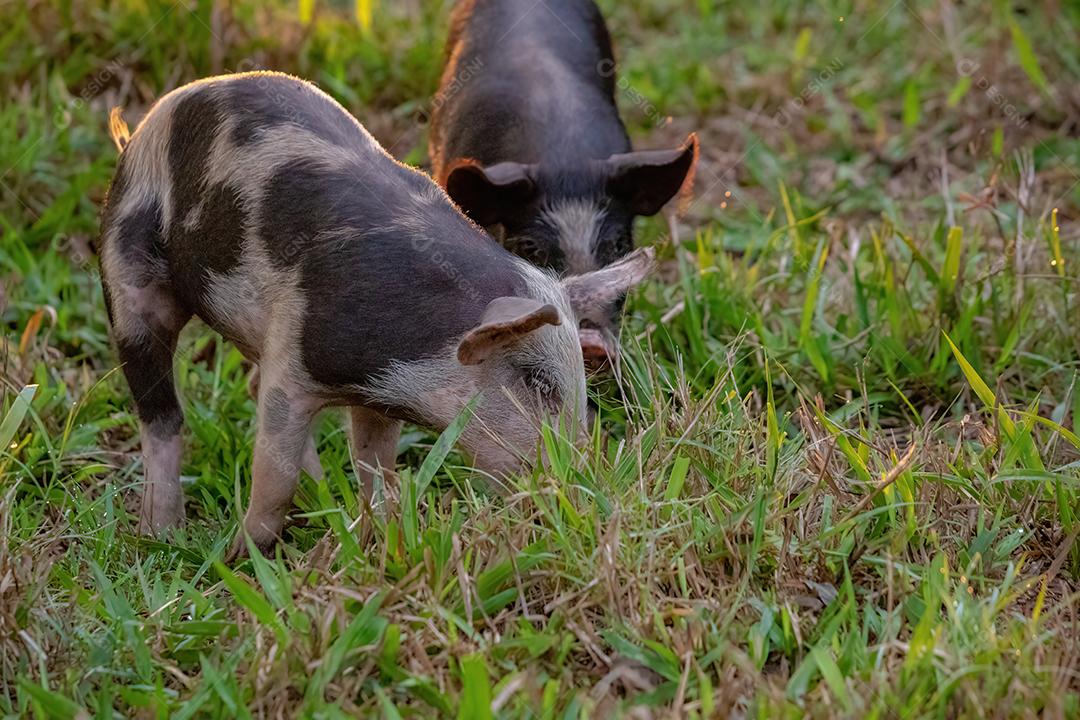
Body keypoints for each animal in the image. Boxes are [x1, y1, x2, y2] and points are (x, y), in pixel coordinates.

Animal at [98, 71, 653, 557]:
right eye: (536, 381)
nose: (581, 483)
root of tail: (139, 133)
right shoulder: (294, 358)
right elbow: (274, 474)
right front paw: (240, 556)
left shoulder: (376, 394)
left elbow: (376, 467)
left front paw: (376, 535)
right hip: (128, 275)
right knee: (162, 414)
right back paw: (162, 534)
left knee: (249, 388)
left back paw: (320, 496)